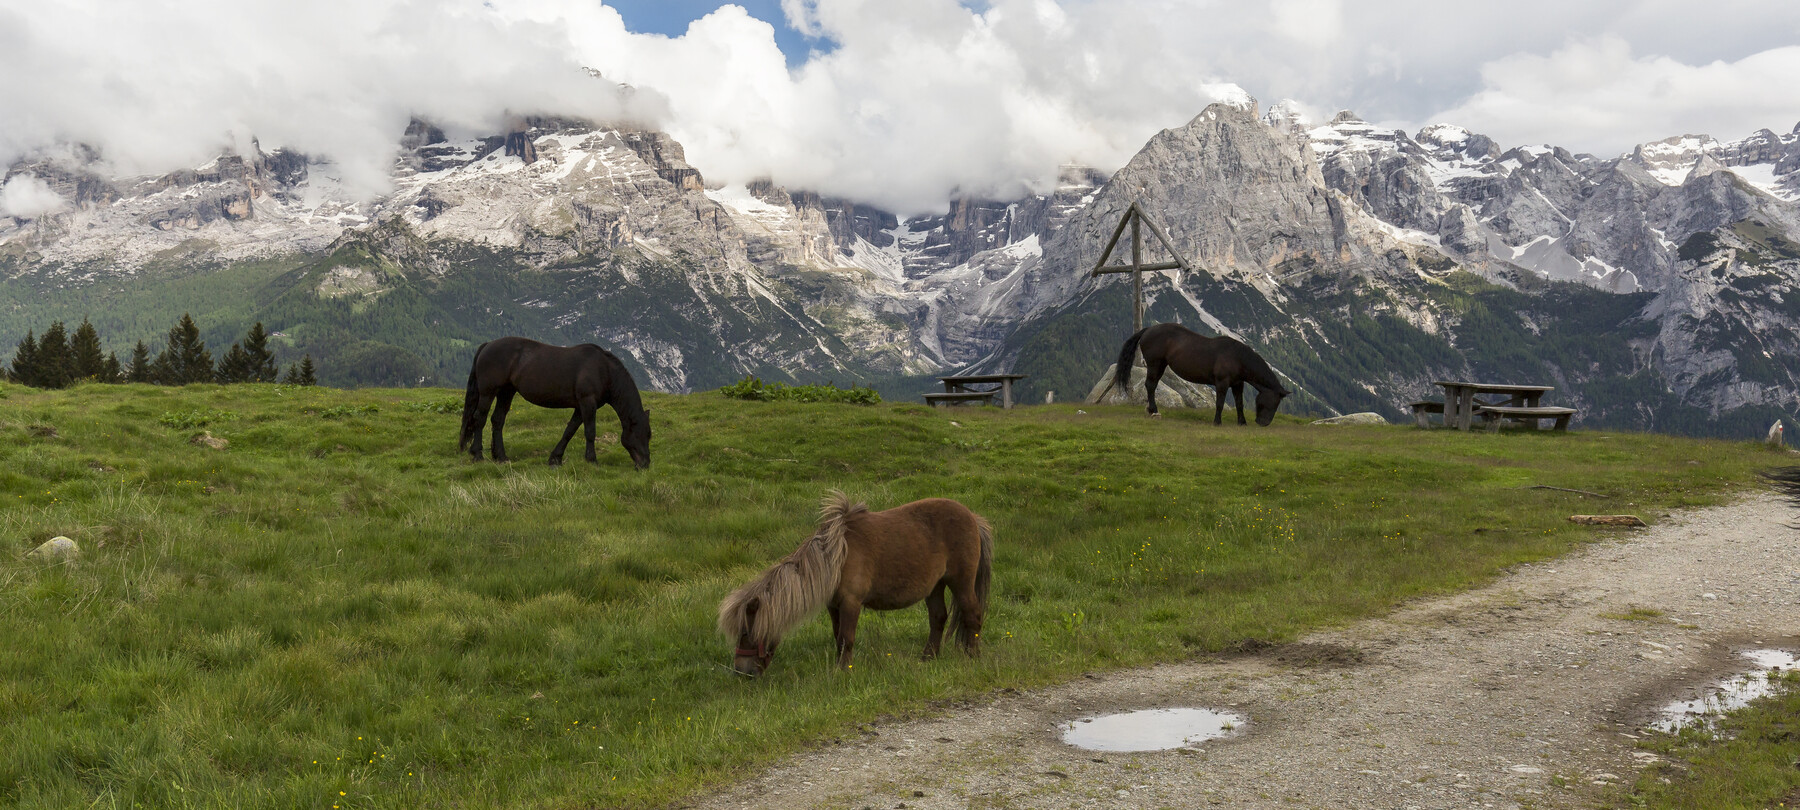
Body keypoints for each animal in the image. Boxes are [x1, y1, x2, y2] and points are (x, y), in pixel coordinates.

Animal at [460, 336, 651, 468]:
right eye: (642, 434)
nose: (645, 464)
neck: (604, 370)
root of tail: (488, 345)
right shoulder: (587, 403)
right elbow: (590, 432)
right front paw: (592, 460)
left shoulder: (580, 407)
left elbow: (569, 431)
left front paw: (555, 458)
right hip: (488, 392)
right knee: (479, 418)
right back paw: (477, 454)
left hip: (506, 392)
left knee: (497, 420)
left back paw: (501, 456)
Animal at [716, 493, 1000, 676]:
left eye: (746, 632)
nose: (742, 672)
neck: (835, 557)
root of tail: (973, 517)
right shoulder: (834, 606)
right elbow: (838, 637)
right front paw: (840, 667)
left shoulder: (851, 603)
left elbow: (847, 638)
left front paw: (843, 672)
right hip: (935, 586)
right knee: (938, 618)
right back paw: (927, 658)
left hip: (960, 582)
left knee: (972, 616)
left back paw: (972, 657)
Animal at [1116, 320, 1288, 426]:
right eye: (1272, 401)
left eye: (1277, 404)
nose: (1263, 423)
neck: (1237, 357)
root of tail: (1148, 330)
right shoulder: (1222, 383)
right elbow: (1219, 403)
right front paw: (1217, 422)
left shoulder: (1238, 384)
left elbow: (1239, 403)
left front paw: (1242, 422)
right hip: (1154, 364)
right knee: (1150, 385)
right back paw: (1154, 411)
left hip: (1160, 366)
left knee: (1151, 385)